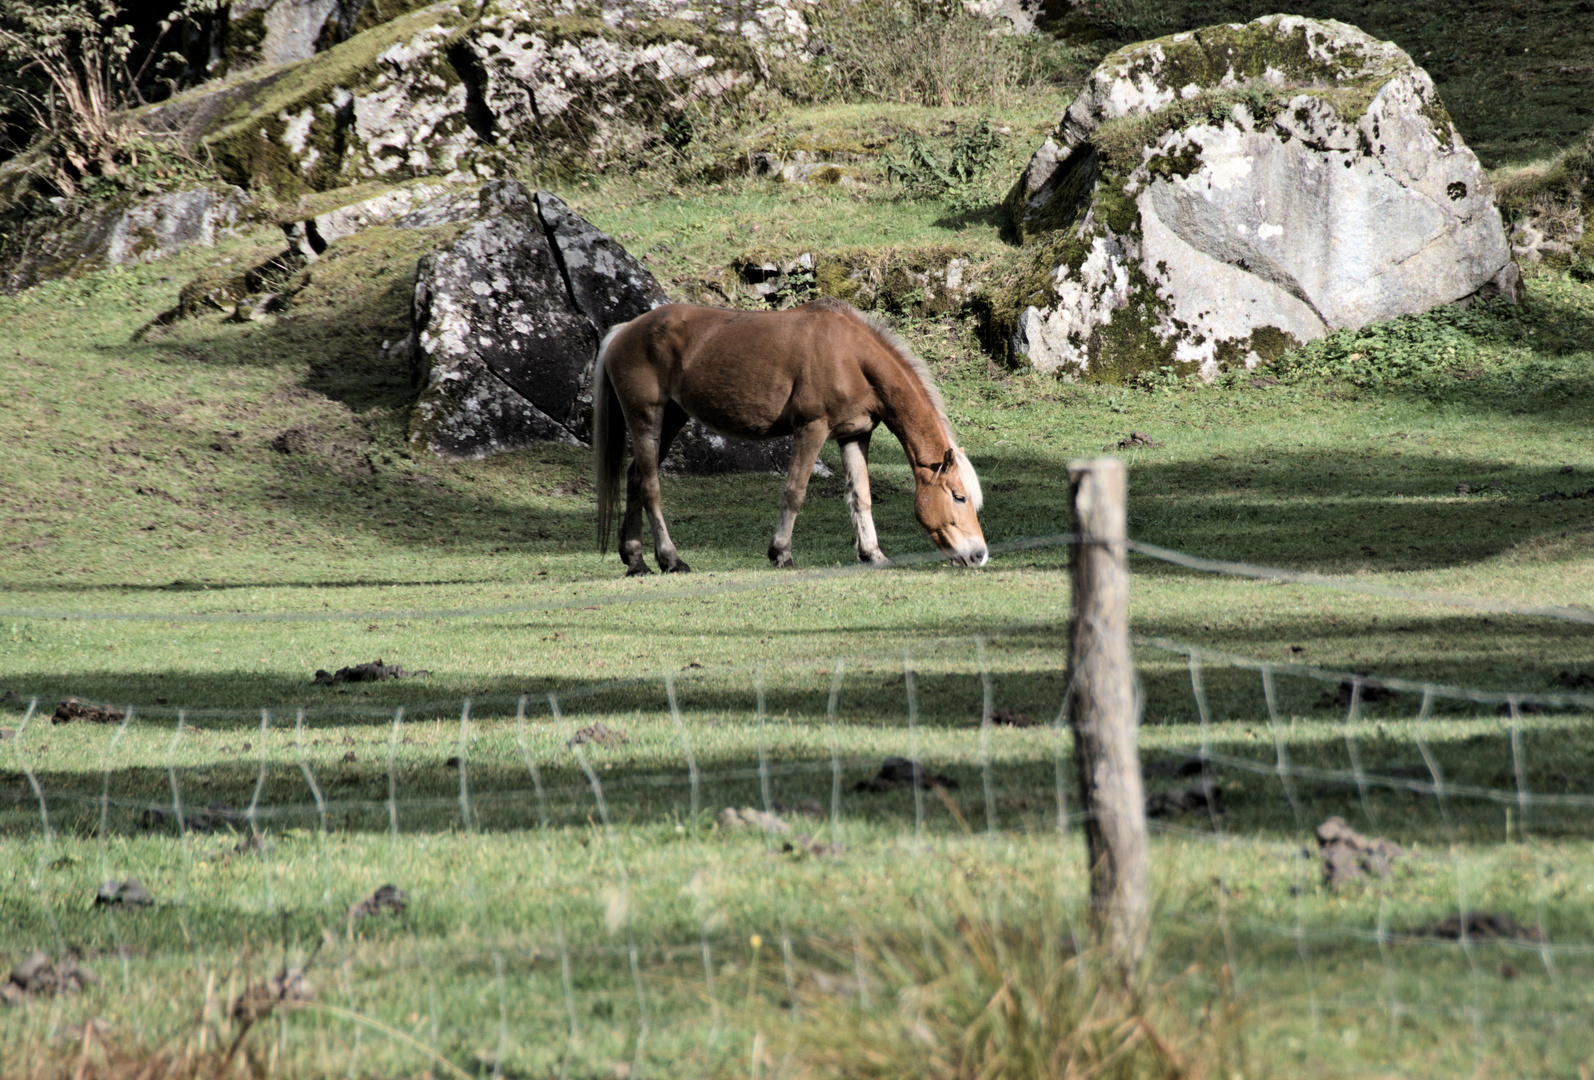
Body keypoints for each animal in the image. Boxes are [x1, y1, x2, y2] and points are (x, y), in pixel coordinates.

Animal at [599, 296, 981, 579]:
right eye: (958, 497)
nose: (979, 555)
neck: (850, 354)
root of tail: (623, 330)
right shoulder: (812, 428)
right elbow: (795, 492)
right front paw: (781, 552)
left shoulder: (854, 435)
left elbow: (861, 495)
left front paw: (873, 554)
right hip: (646, 417)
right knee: (650, 486)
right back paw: (671, 559)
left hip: (671, 419)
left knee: (635, 478)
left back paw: (636, 561)